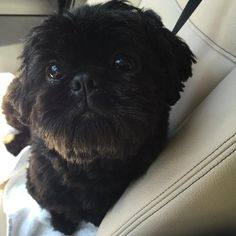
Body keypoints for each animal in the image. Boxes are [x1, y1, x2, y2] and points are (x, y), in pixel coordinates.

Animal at [2, 0, 195, 234]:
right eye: (54, 70)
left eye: (123, 62)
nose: (84, 80)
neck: (91, 165)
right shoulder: (39, 185)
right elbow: (58, 206)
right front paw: (62, 222)